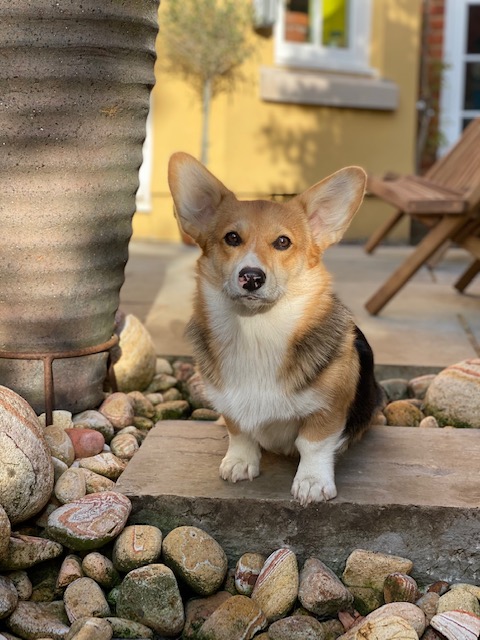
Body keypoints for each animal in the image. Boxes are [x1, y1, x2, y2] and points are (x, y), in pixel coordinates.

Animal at [168, 153, 383, 505]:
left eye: (283, 242)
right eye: (232, 238)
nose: (251, 277)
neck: (256, 331)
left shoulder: (330, 408)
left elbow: (313, 443)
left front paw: (311, 482)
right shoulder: (231, 404)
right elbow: (239, 431)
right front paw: (240, 462)